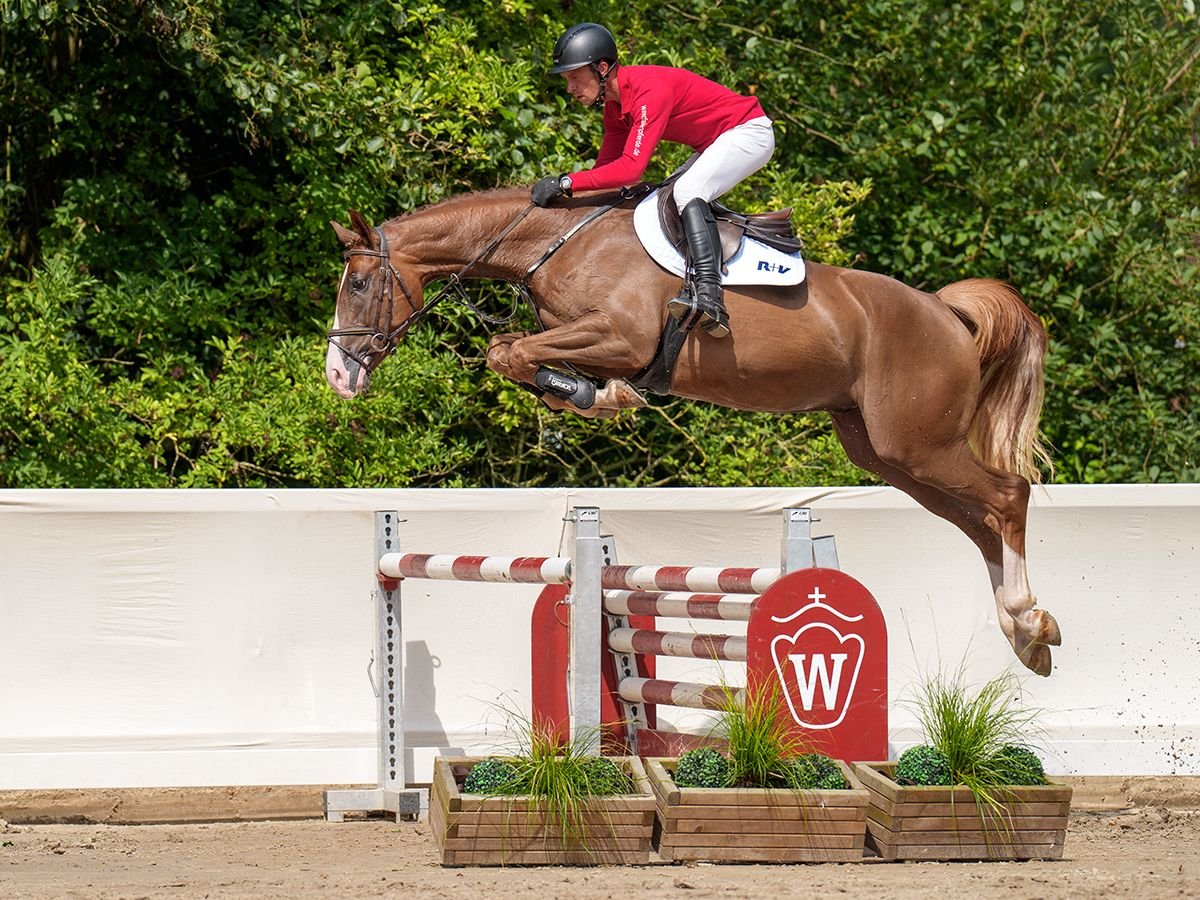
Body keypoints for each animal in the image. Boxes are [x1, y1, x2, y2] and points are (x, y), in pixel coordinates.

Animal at [326, 184, 1060, 676]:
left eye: (359, 284)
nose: (338, 376)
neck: (553, 246)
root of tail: (945, 311)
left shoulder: (618, 336)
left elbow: (507, 352)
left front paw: (598, 396)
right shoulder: (587, 338)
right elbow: (510, 351)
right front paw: (594, 396)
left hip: (920, 444)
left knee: (1009, 496)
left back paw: (1028, 614)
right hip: (888, 453)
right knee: (977, 522)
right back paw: (1024, 631)